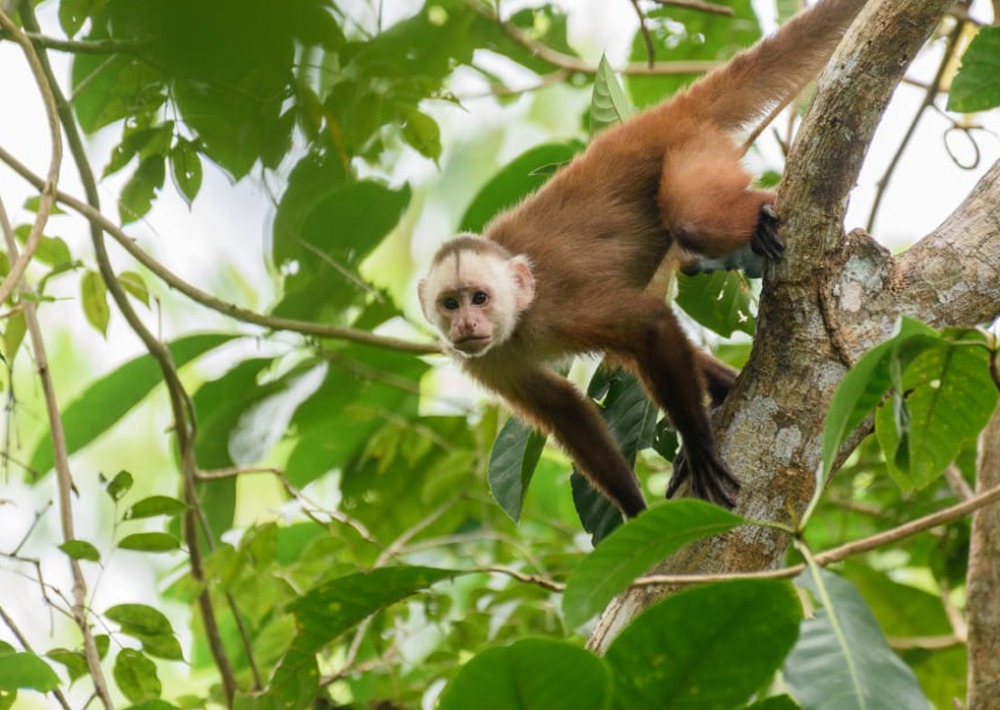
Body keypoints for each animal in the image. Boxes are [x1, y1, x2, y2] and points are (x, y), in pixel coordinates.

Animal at [418, 0, 864, 520]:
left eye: (480, 297)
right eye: (451, 304)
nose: (467, 324)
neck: (520, 318)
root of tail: (661, 115)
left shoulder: (558, 305)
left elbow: (649, 325)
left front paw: (698, 446)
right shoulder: (487, 361)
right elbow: (564, 410)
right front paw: (632, 509)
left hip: (697, 150)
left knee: (693, 221)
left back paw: (769, 214)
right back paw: (727, 389)